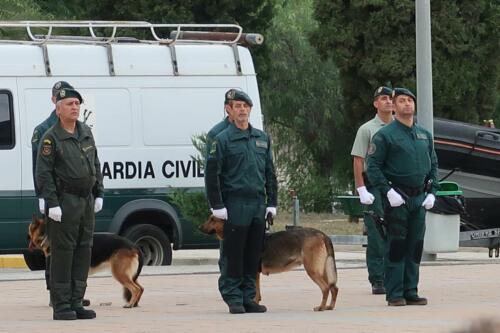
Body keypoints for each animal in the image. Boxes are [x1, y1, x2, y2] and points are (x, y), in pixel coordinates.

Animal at [199, 214, 340, 310]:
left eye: (213, 219)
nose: (199, 227)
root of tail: (322, 234)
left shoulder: (252, 273)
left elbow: (254, 293)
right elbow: (256, 293)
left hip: (312, 270)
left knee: (326, 288)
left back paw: (321, 307)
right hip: (323, 269)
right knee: (334, 288)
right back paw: (330, 307)